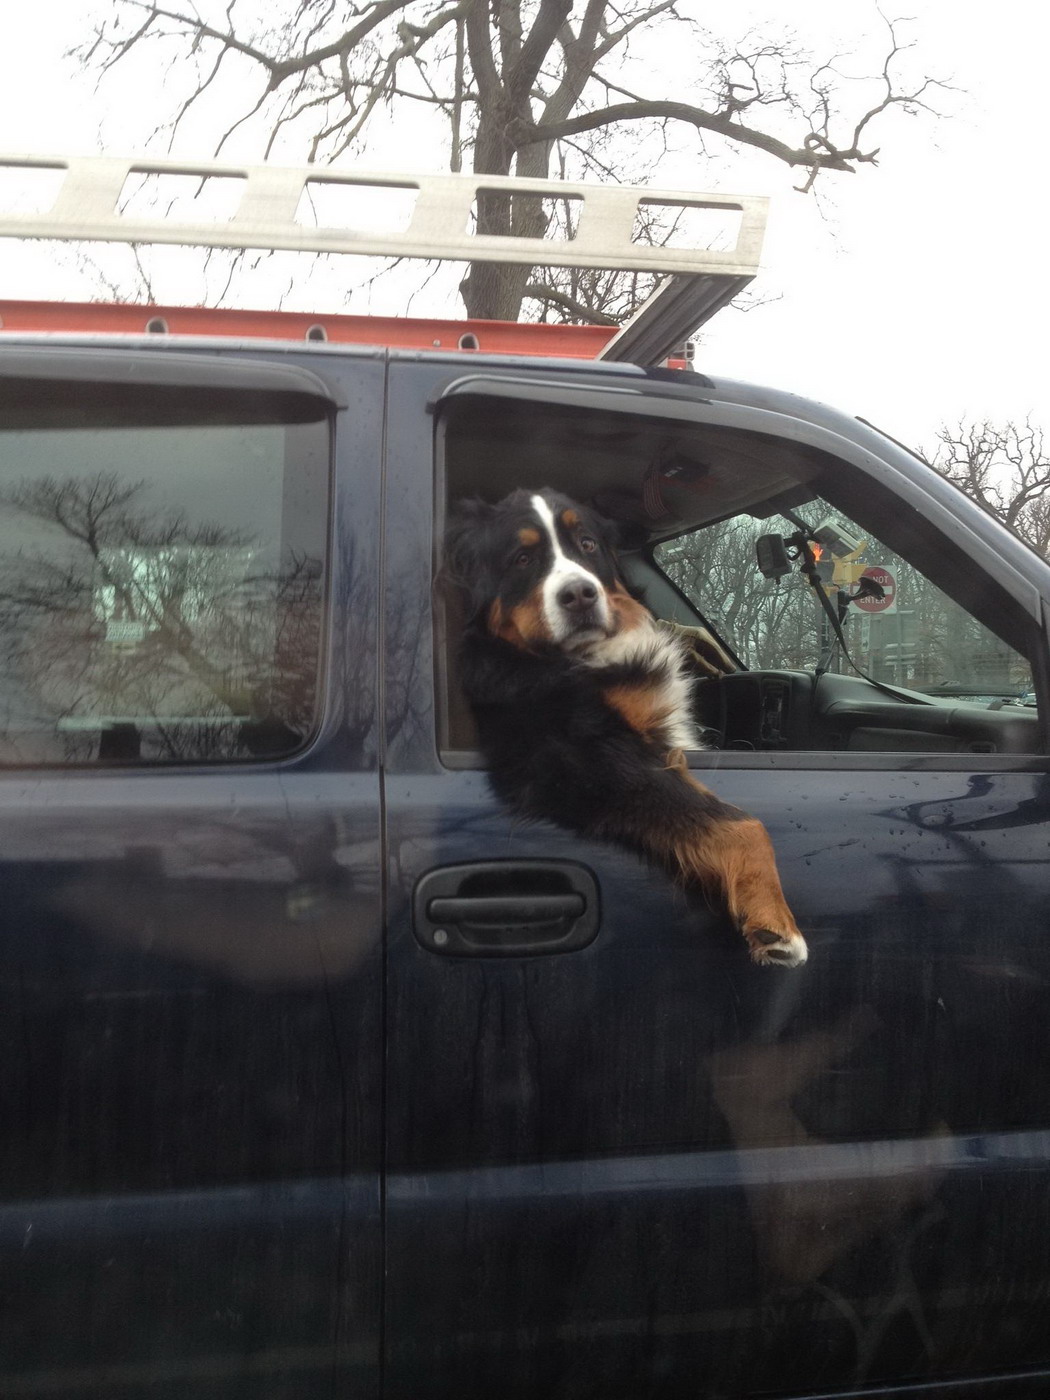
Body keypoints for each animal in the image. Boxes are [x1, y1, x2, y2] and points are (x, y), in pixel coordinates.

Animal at [444, 488, 807, 967]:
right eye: (522, 558)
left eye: (587, 544)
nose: (579, 594)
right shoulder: (580, 758)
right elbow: (740, 823)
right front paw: (775, 922)